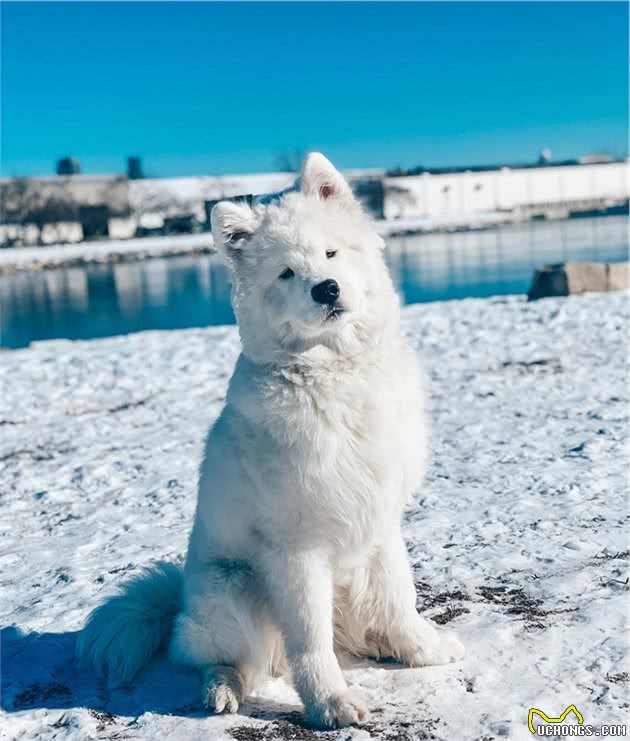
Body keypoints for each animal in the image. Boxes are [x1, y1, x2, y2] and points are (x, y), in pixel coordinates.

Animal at [78, 152, 464, 728]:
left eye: (330, 252)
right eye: (286, 272)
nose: (326, 288)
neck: (334, 375)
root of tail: (178, 605)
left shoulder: (380, 521)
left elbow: (399, 597)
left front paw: (423, 650)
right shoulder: (295, 550)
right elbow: (311, 642)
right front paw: (331, 704)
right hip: (234, 588)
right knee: (227, 659)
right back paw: (222, 689)